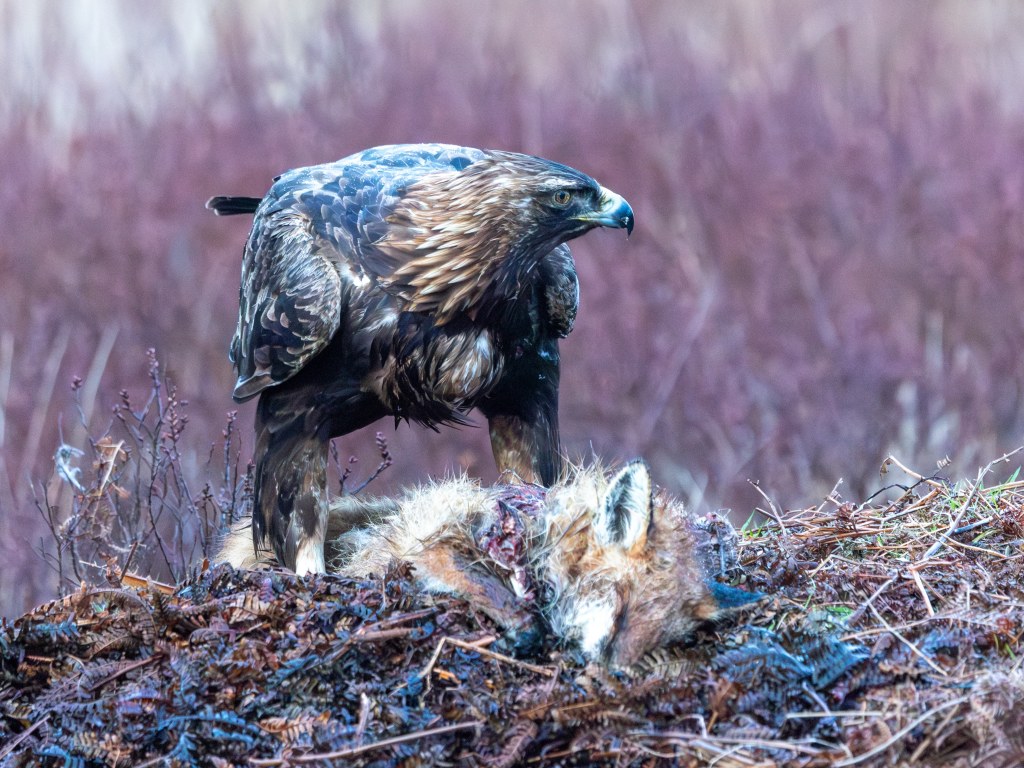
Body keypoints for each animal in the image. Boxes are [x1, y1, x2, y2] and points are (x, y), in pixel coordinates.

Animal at [217, 460, 761, 668]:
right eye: (623, 612)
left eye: (658, 639)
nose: (616, 676)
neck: (537, 534)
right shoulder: (439, 545)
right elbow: (509, 604)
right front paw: (523, 631)